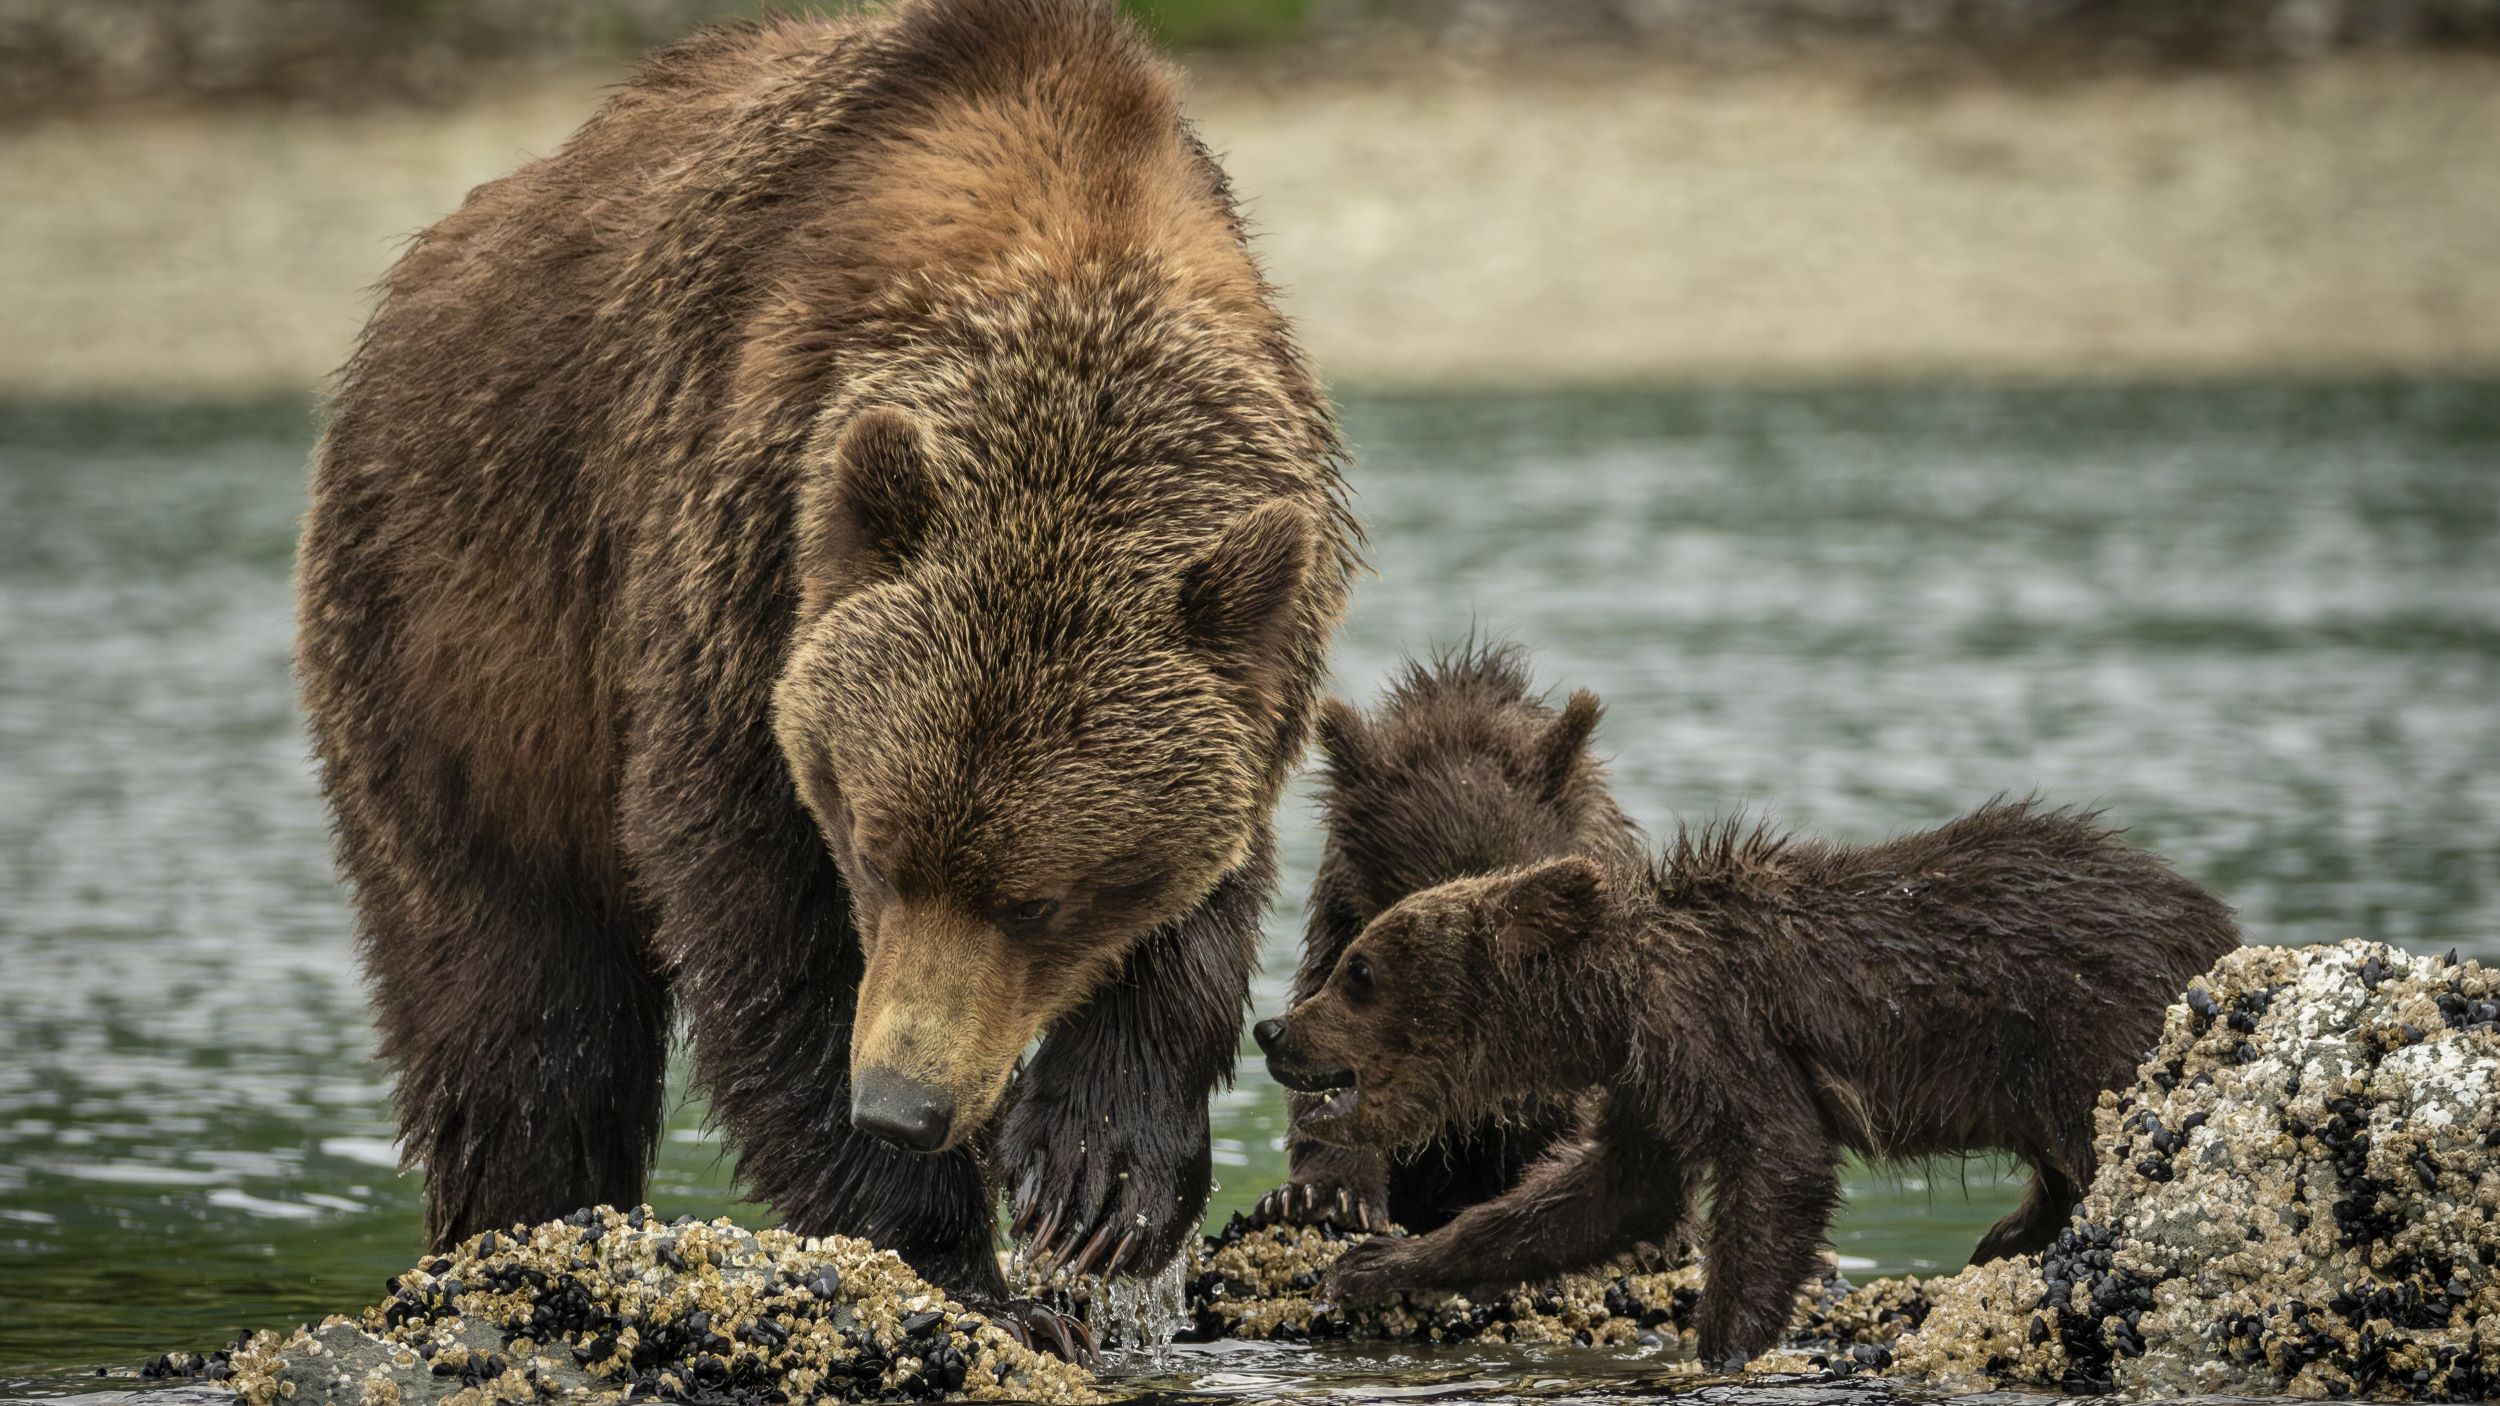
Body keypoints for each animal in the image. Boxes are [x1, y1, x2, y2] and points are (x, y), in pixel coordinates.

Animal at [300, 0, 1360, 1330]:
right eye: (873, 844)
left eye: (1043, 895)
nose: (904, 1102)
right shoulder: (741, 564)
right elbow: (757, 911)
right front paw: (961, 1262)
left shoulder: (1243, 652)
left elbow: (1202, 904)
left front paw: (1099, 1177)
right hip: (459, 639)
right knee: (519, 1002)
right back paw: (518, 1222)